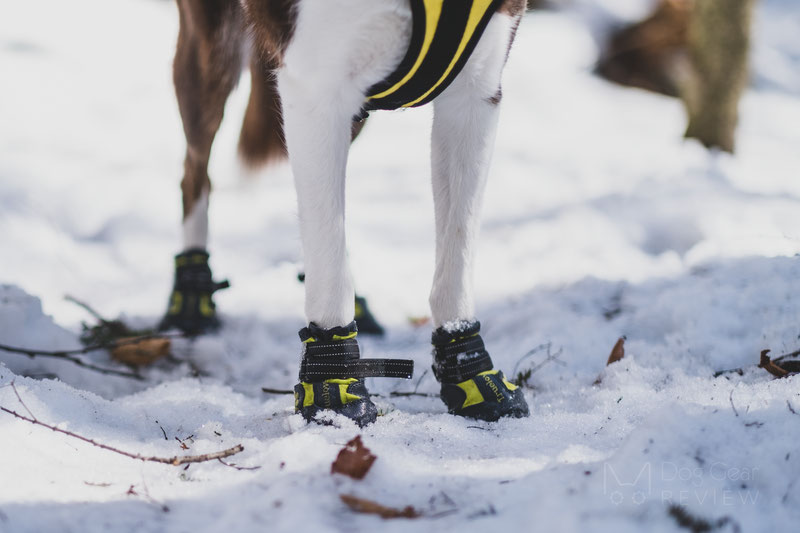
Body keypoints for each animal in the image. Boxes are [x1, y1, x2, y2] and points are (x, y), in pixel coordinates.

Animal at [165, 0, 528, 424]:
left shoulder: (475, 88)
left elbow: (458, 252)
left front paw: (471, 371)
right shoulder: (317, 88)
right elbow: (328, 261)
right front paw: (332, 385)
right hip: (212, 52)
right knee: (195, 172)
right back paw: (192, 294)